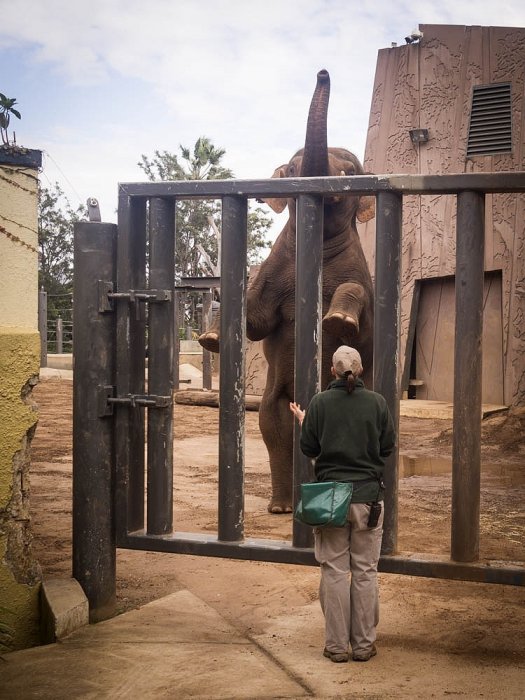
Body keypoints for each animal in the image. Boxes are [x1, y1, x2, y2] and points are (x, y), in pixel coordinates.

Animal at [199, 69, 374, 516]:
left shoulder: (361, 272)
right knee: (272, 423)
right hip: (276, 400)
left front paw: (337, 319)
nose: (324, 71)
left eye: (349, 174)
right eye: (292, 168)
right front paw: (210, 337)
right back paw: (280, 506)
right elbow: (258, 318)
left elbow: (360, 307)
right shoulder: (275, 267)